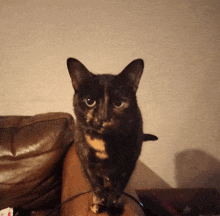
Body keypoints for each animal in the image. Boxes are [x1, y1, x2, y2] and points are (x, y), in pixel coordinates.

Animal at [66, 58, 150, 215]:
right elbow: (97, 187)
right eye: (89, 101)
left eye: (118, 103)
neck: (104, 141)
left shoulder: (127, 165)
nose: (103, 117)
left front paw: (114, 206)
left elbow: (117, 188)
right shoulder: (88, 165)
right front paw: (99, 203)